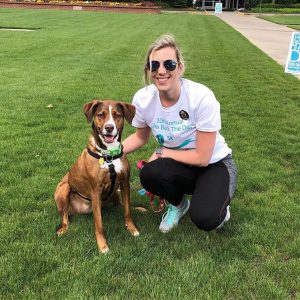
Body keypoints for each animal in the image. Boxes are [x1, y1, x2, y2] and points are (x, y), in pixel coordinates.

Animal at [54, 100, 139, 253]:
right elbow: (99, 223)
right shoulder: (95, 190)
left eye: (117, 115)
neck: (109, 154)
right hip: (64, 188)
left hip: (115, 192)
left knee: (121, 203)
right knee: (64, 215)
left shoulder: (124, 183)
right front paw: (102, 245)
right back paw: (63, 228)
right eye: (101, 115)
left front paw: (132, 228)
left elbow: (128, 210)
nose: (109, 127)